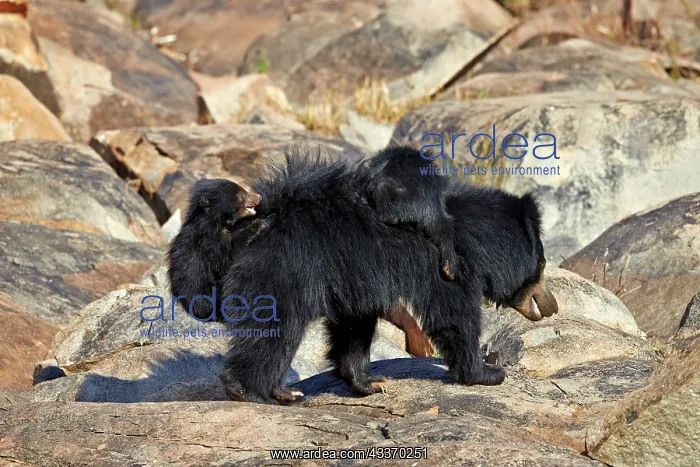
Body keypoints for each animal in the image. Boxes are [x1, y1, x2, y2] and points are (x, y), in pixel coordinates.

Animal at [167, 178, 264, 321]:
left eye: (243, 190)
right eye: (241, 195)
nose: (259, 197)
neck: (216, 223)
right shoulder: (210, 244)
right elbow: (229, 255)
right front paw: (257, 224)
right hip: (203, 288)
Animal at [217, 148, 558, 404]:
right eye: (542, 266)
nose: (552, 307)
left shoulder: (358, 277)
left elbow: (354, 326)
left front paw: (369, 383)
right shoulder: (446, 268)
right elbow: (455, 315)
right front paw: (487, 372)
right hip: (284, 271)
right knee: (275, 328)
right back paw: (251, 390)